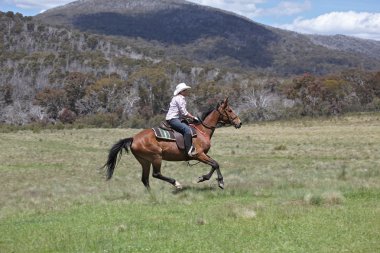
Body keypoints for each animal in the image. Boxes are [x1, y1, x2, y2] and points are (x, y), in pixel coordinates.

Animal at [101, 97, 240, 190]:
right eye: (229, 110)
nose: (239, 122)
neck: (202, 130)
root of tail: (133, 138)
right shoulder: (199, 154)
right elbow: (215, 164)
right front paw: (220, 182)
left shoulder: (203, 155)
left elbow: (214, 164)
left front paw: (204, 178)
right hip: (156, 157)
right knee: (156, 174)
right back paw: (176, 183)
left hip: (145, 161)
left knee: (145, 179)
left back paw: (152, 195)